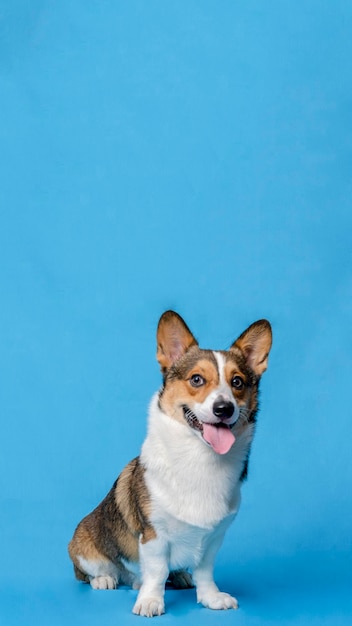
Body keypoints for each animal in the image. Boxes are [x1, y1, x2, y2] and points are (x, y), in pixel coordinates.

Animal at [69, 310, 272, 612]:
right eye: (197, 379)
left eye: (237, 382)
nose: (224, 409)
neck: (199, 457)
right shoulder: (154, 534)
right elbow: (156, 571)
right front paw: (150, 601)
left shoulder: (214, 538)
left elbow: (204, 571)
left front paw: (211, 597)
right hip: (84, 547)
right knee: (101, 571)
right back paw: (108, 579)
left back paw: (178, 577)